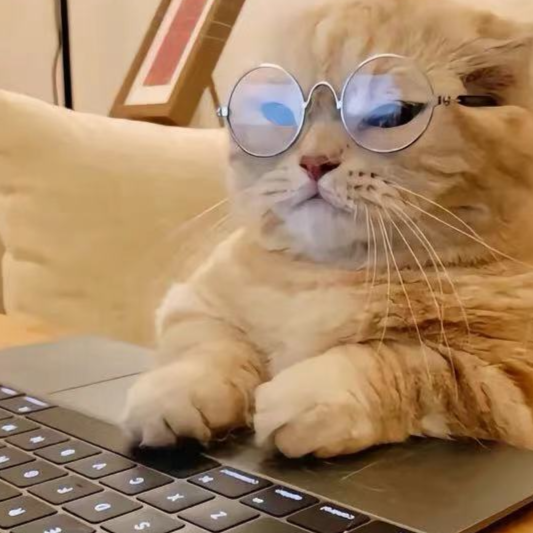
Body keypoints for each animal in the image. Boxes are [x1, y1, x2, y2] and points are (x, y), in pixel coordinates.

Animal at [124, 0, 533, 459]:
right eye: (278, 111)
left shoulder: (507, 381)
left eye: (391, 114)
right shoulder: (194, 302)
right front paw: (179, 389)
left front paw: (311, 392)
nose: (314, 162)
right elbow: (208, 345)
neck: (327, 275)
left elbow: (406, 362)